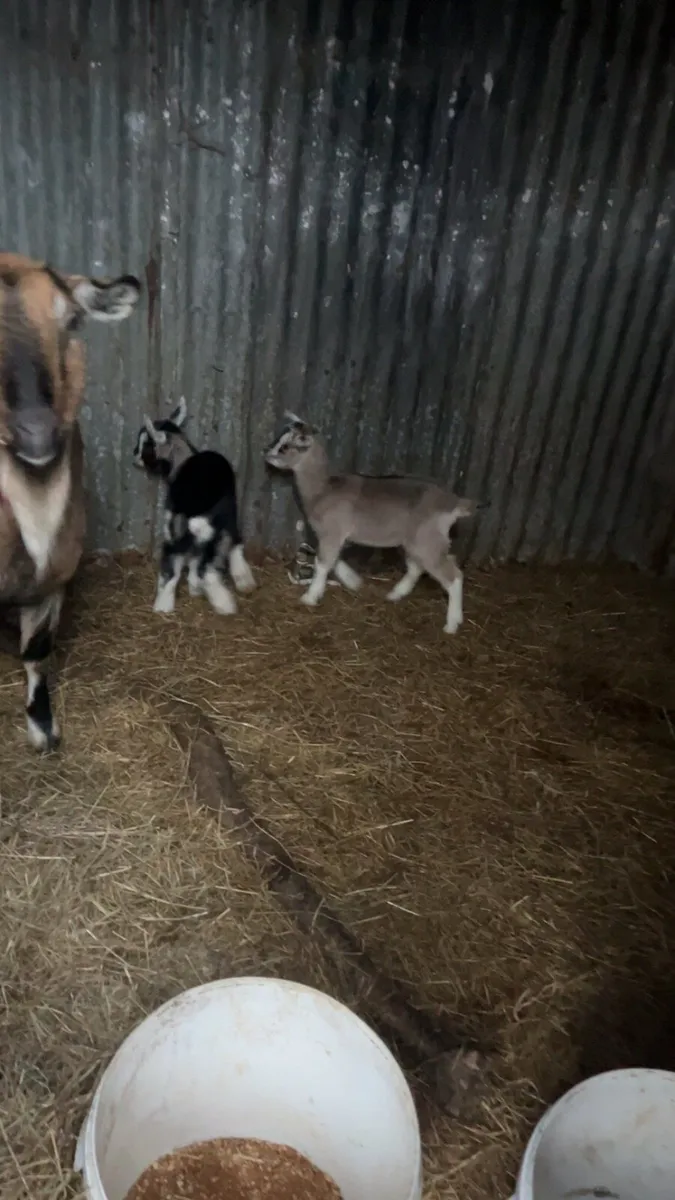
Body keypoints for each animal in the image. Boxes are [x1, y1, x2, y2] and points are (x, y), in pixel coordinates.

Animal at [133, 398, 256, 616]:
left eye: (146, 446)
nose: (134, 456)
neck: (183, 459)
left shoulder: (173, 521)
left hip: (181, 524)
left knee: (178, 559)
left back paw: (165, 604)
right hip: (216, 518)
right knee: (216, 555)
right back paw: (229, 595)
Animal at [265, 413, 479, 633]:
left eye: (285, 447)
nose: (266, 453)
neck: (323, 489)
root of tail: (453, 503)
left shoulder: (332, 531)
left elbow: (323, 562)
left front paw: (310, 596)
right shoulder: (335, 535)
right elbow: (334, 559)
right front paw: (353, 581)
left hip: (427, 541)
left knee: (453, 575)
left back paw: (452, 624)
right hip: (417, 541)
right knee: (417, 568)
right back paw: (396, 594)